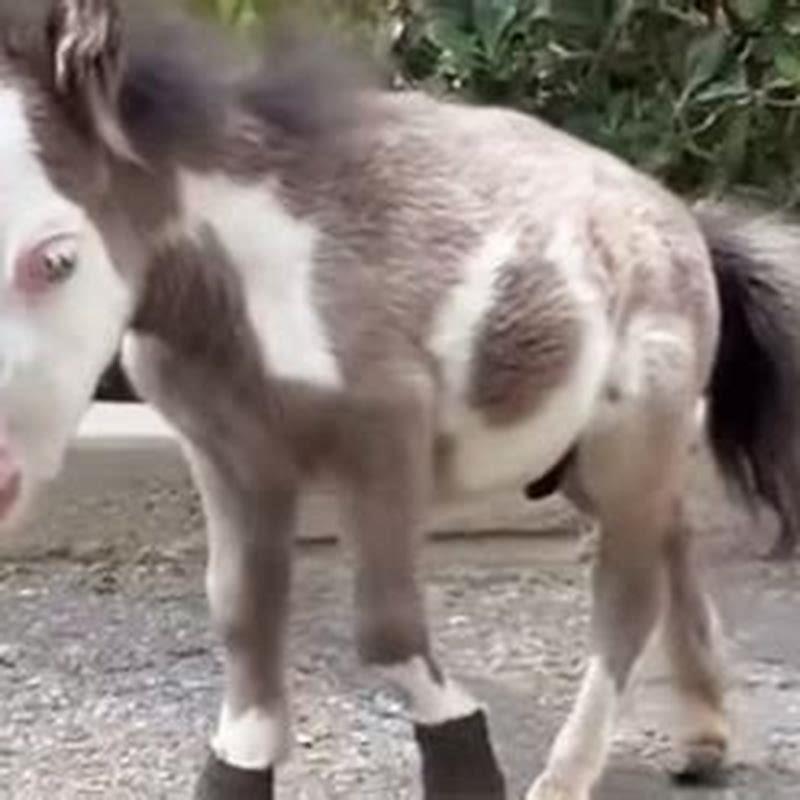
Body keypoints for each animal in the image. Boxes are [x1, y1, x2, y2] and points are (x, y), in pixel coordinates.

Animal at [1, 2, 800, 798]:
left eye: (57, 258)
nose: (2, 484)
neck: (261, 272)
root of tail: (688, 222)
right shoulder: (230, 454)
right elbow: (240, 612)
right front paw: (238, 765)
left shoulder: (386, 433)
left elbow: (385, 629)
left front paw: (467, 762)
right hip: (577, 455)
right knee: (671, 540)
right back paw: (703, 738)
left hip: (630, 435)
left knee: (629, 594)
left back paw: (567, 775)